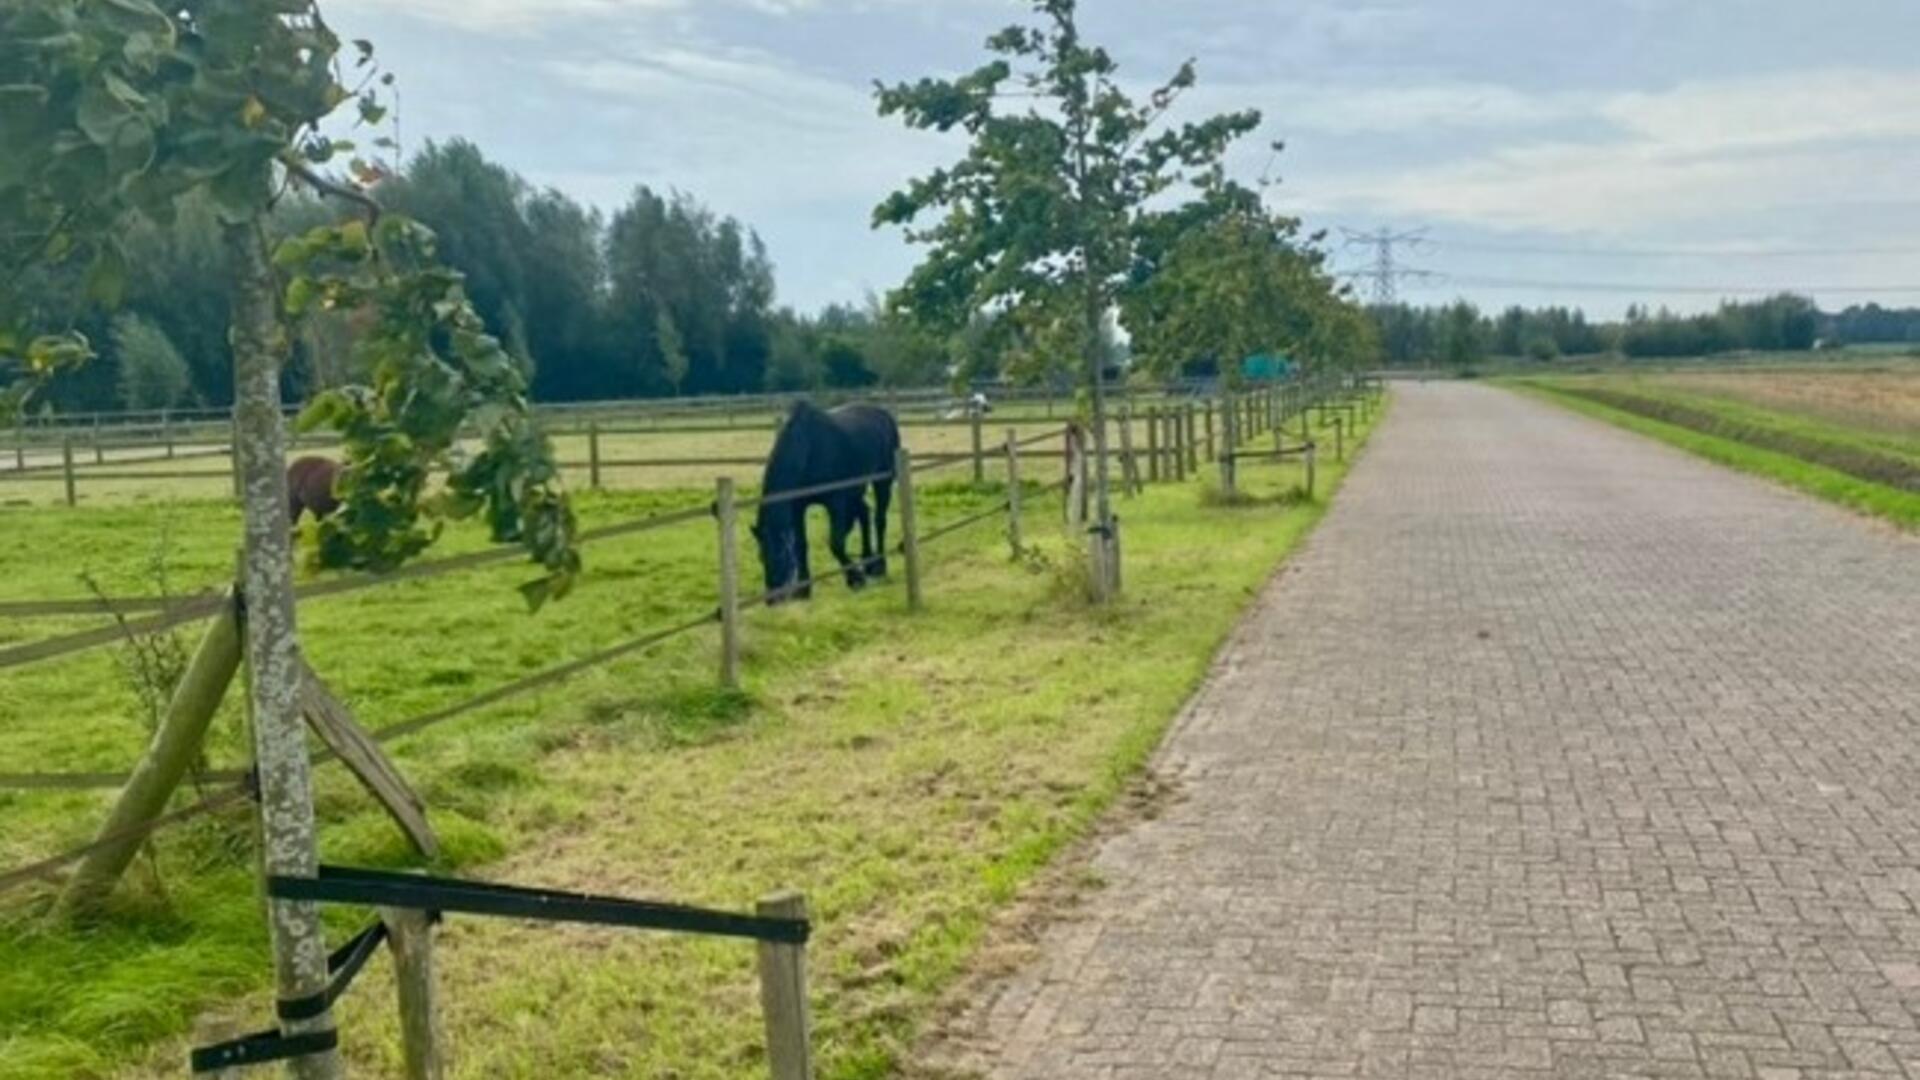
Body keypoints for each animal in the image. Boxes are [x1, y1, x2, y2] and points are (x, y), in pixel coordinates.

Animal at [748, 401, 898, 599]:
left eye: (779, 554)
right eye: (760, 557)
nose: (772, 599)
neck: (808, 449)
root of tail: (885, 414)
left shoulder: (836, 502)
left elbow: (836, 543)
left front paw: (855, 579)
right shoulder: (798, 507)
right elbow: (801, 544)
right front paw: (804, 589)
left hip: (882, 482)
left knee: (880, 520)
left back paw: (879, 566)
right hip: (855, 490)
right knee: (864, 514)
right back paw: (868, 562)